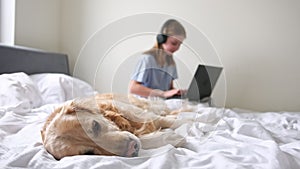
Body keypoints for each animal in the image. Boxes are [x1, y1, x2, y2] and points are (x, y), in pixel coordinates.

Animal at [41, 93, 188, 159]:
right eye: (89, 153)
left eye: (95, 126)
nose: (132, 148)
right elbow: (143, 139)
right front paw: (171, 137)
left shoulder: (138, 113)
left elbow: (169, 121)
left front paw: (191, 120)